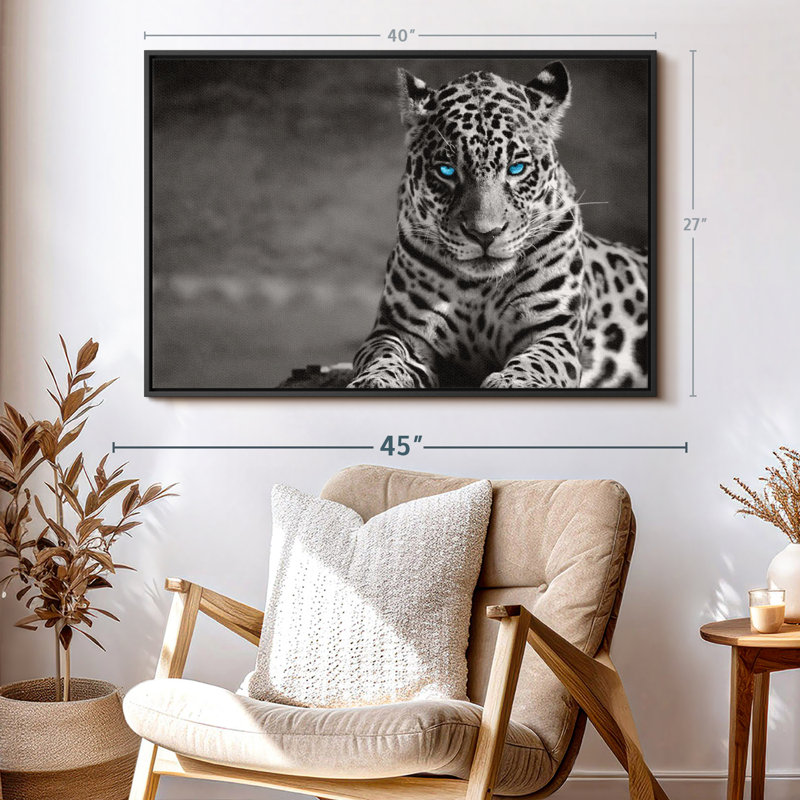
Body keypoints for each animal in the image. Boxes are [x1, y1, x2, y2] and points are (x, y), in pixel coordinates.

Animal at [347, 62, 649, 391]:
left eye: (516, 168)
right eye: (446, 170)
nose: (484, 234)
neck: (479, 288)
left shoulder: (553, 331)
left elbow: (536, 362)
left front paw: (513, 382)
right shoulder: (398, 330)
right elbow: (385, 357)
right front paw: (373, 381)